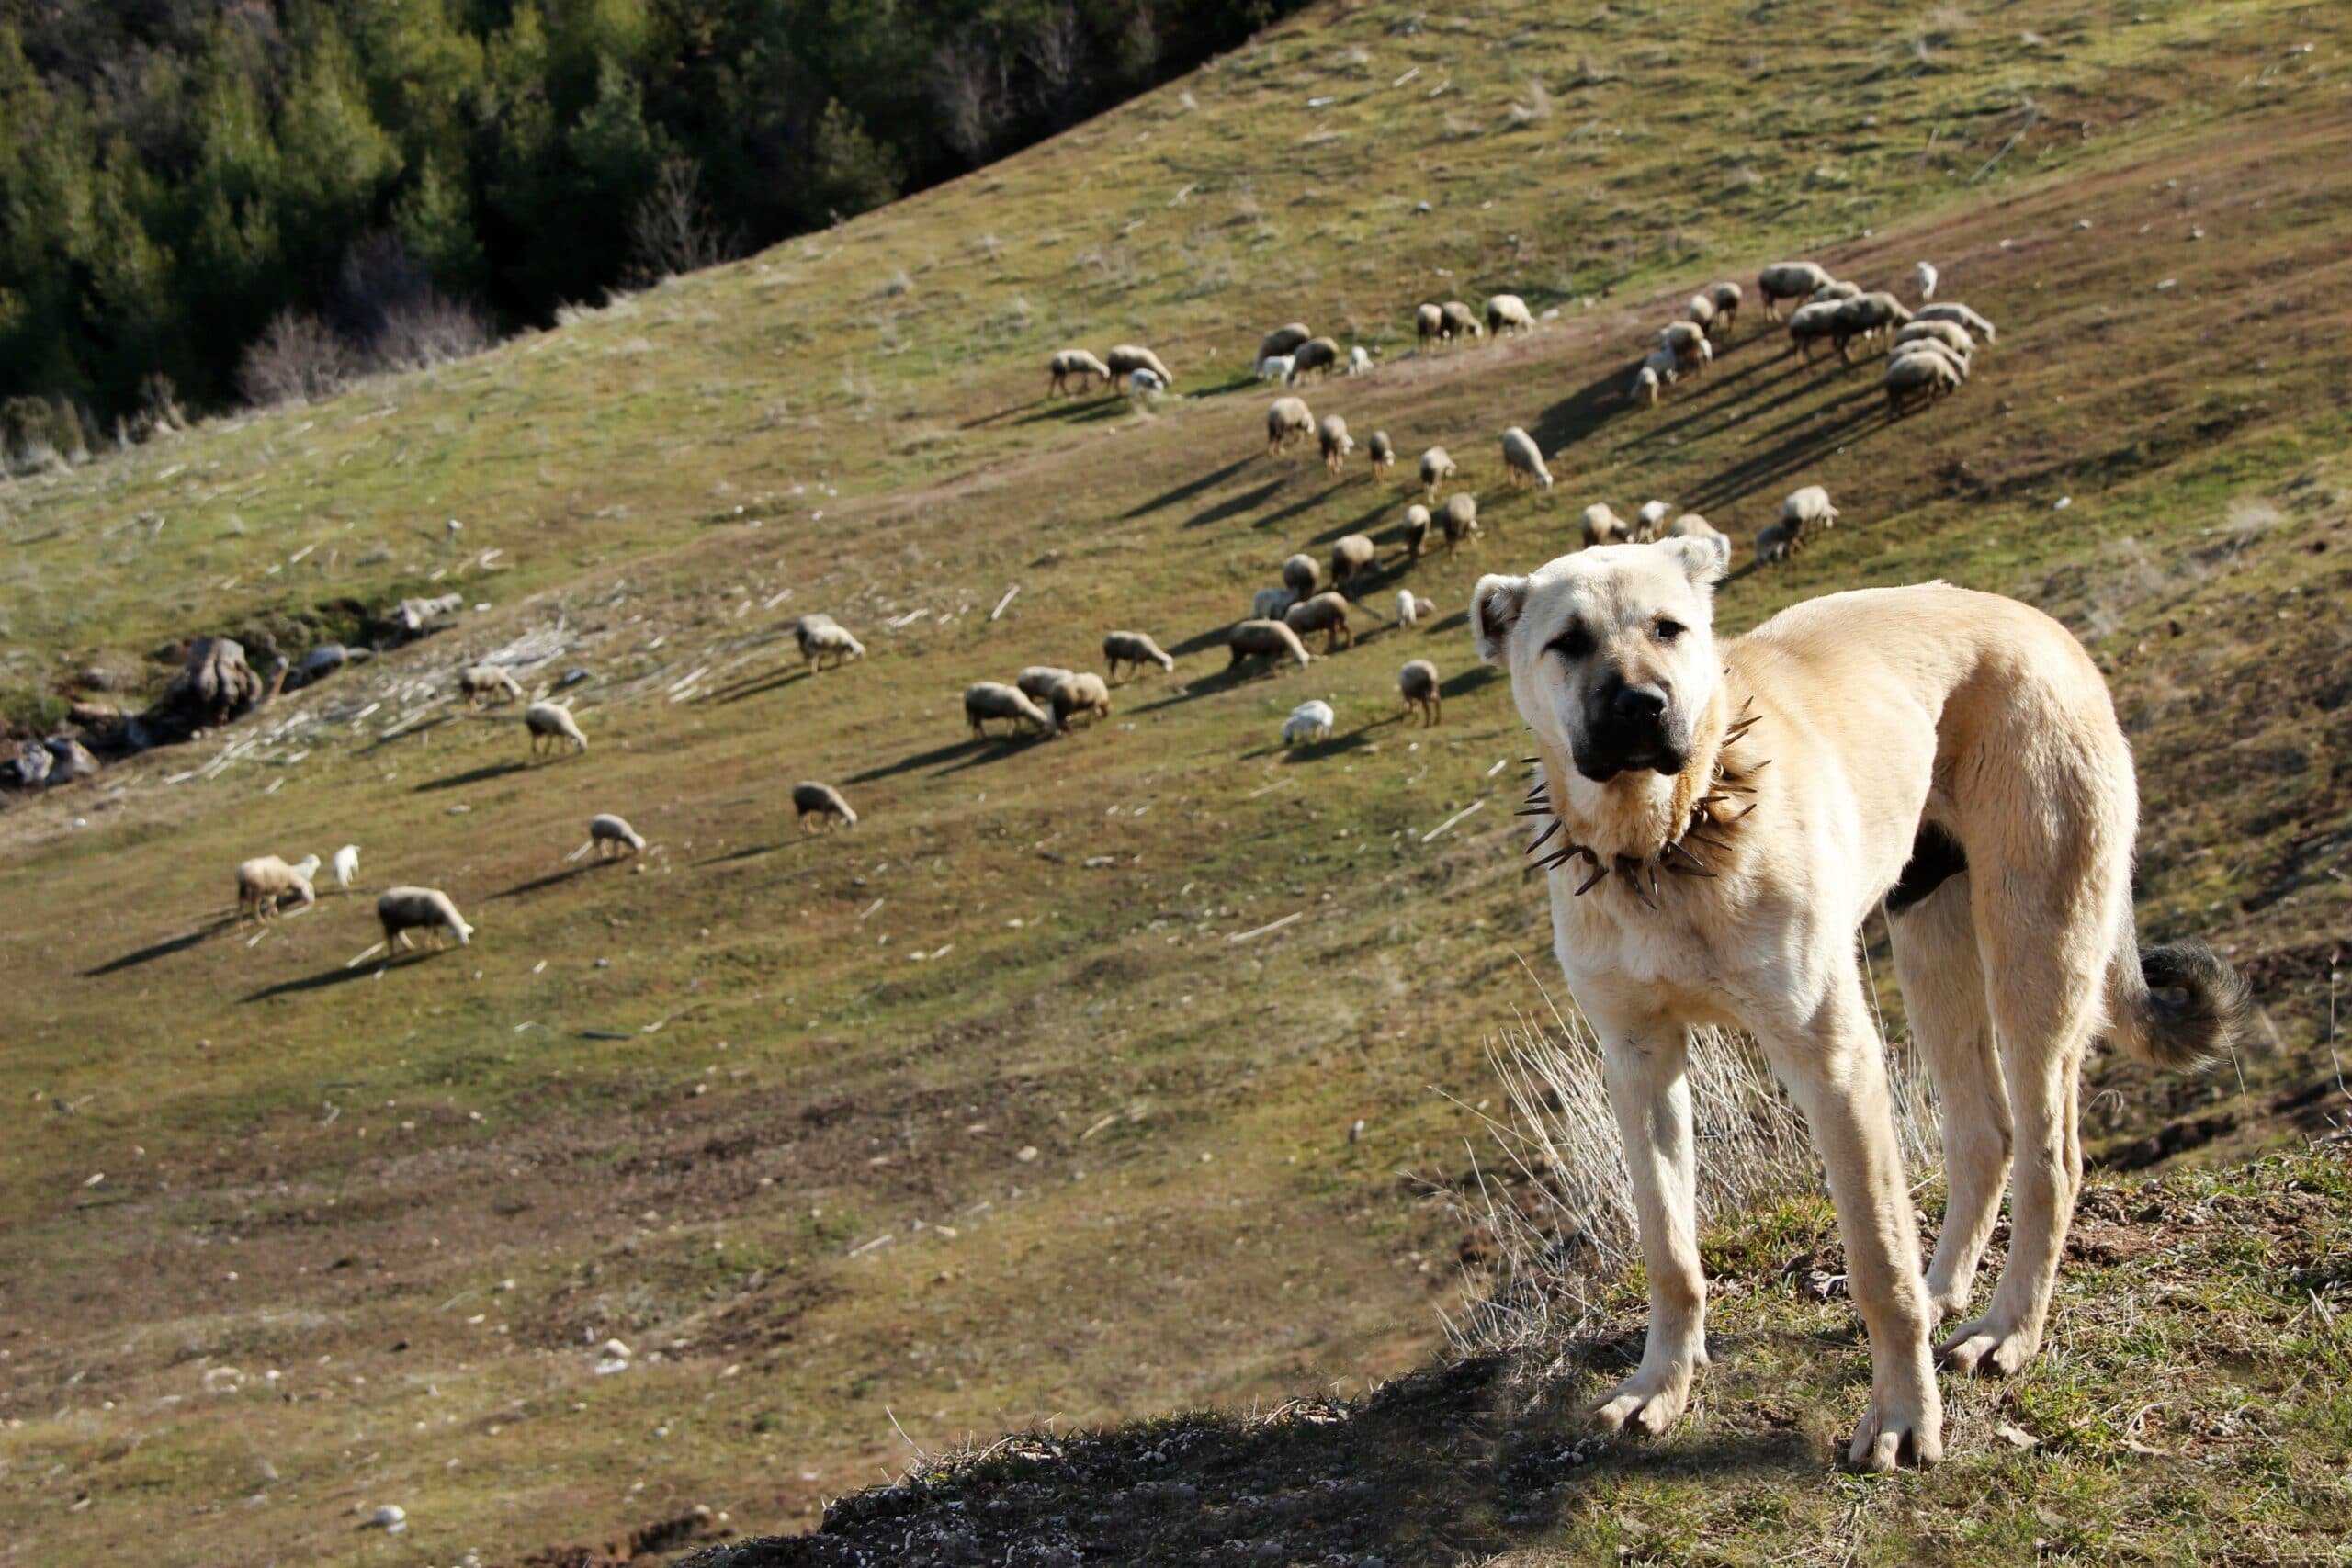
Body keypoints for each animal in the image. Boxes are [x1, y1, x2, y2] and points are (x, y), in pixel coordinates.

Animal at [1467, 543, 2239, 1476]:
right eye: (1569, 642)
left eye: (1668, 628)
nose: (1644, 705)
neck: (1667, 841)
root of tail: (2041, 625)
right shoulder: (1639, 1063)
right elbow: (1670, 1250)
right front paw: (1662, 1384)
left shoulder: (1833, 1059)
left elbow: (1877, 1260)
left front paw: (1905, 1414)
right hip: (1931, 941)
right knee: (1984, 1134)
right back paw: (1947, 1290)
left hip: (2034, 954)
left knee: (2050, 1156)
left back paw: (2008, 1330)